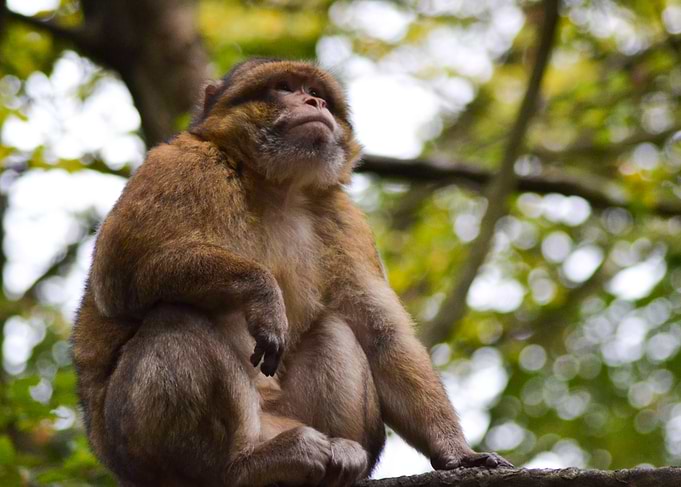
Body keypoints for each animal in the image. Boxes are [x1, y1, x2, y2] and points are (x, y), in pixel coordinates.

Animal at [71, 58, 512, 487]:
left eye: (317, 93)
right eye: (284, 87)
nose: (313, 103)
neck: (275, 185)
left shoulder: (344, 220)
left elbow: (381, 335)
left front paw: (455, 452)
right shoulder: (178, 166)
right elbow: (121, 273)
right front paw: (262, 292)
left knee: (335, 330)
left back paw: (335, 461)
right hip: (138, 450)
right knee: (176, 318)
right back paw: (242, 466)